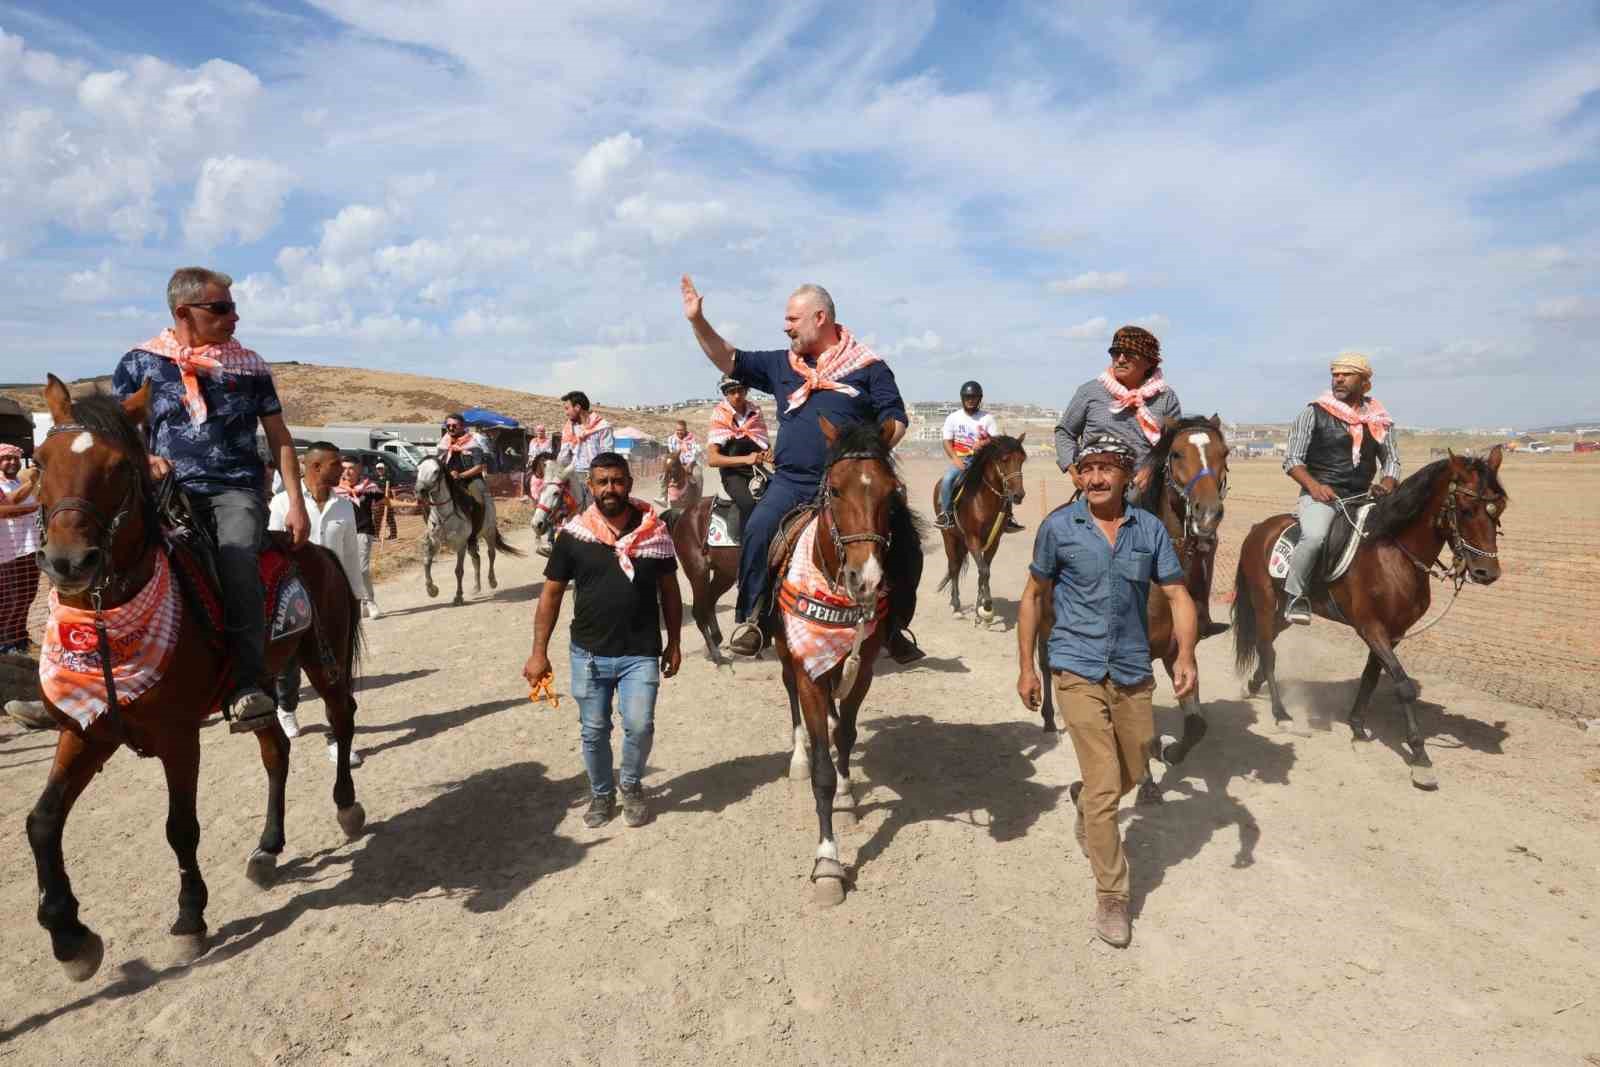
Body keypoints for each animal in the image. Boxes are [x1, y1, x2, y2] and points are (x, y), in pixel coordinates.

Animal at [27, 377, 366, 985]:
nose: (68, 562)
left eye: (120, 466)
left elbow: (180, 825)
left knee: (341, 718)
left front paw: (190, 918)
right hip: (262, 682)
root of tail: (316, 549)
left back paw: (346, 807)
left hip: (320, 662)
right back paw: (267, 849)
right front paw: (70, 939)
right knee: (276, 750)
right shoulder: (87, 730)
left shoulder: (179, 736)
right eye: (40, 461)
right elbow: (42, 821)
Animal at [416, 457, 521, 604]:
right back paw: (476, 587)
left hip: (488, 532)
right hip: (471, 540)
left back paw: (492, 581)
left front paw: (458, 596)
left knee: (491, 554)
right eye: (418, 469)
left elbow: (459, 571)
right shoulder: (435, 542)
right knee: (476, 558)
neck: (445, 515)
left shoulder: (460, 544)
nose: (419, 490)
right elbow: (426, 563)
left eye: (436, 471)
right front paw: (432, 590)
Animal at [771, 415, 902, 908]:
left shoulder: (862, 669)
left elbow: (845, 735)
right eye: (837, 490)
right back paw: (797, 756)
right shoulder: (807, 667)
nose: (866, 578)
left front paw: (847, 796)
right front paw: (828, 862)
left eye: (890, 492)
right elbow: (822, 772)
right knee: (793, 700)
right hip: (787, 654)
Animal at [934, 435, 1030, 627]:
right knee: (954, 567)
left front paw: (981, 613)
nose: (1018, 495)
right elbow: (984, 571)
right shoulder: (973, 540)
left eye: (1022, 459)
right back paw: (956, 606)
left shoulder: (993, 541)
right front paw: (986, 608)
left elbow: (984, 572)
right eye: (1004, 459)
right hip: (949, 536)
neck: (983, 500)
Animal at [1228, 447, 1504, 790]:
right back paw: (1281, 714)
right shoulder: (1371, 628)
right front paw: (1420, 757)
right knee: (1267, 649)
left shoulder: (1394, 632)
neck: (1393, 554)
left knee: (1268, 642)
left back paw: (1253, 686)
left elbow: (1371, 677)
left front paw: (1358, 728)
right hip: (1265, 602)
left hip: (1285, 610)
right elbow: (1402, 685)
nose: (1487, 572)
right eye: (1465, 510)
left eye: (1499, 508)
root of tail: (1258, 529)